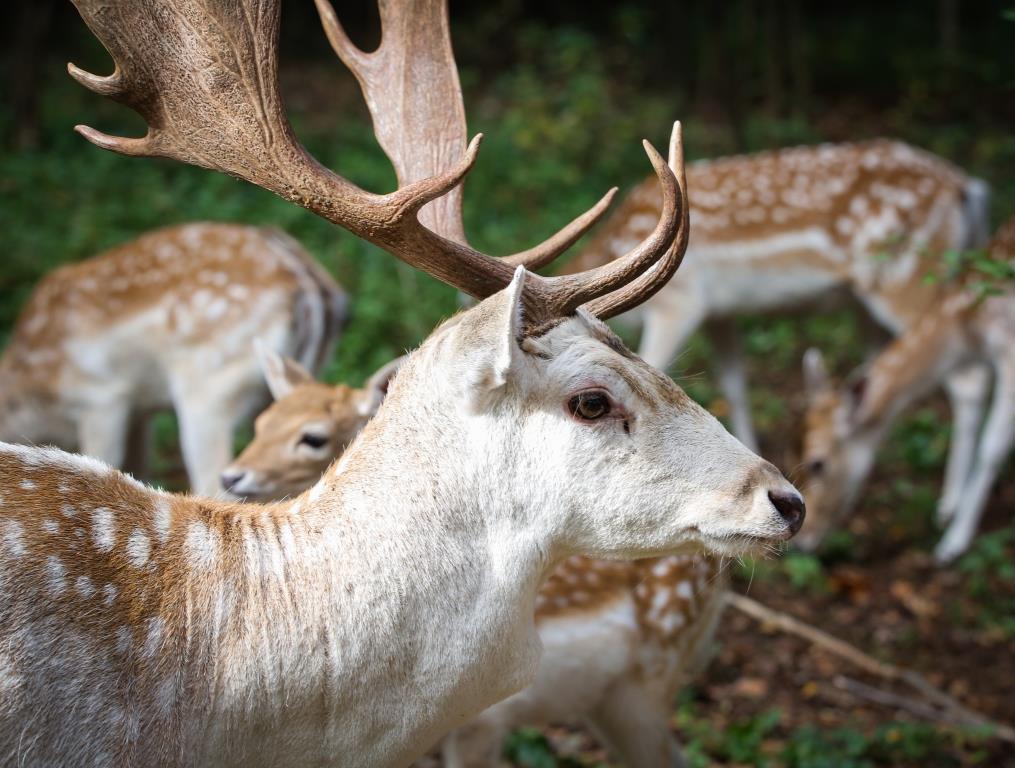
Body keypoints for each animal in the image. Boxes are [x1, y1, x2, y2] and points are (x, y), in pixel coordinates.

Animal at [572, 142, 990, 491]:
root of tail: (965, 187)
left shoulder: (681, 302)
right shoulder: (718, 313)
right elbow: (734, 385)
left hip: (910, 279)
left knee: (967, 378)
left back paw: (950, 517)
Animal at [799, 213, 1015, 560]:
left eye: (818, 463)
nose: (803, 542)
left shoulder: (1010, 350)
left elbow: (992, 447)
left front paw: (953, 542)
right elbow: (972, 398)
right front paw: (947, 507)